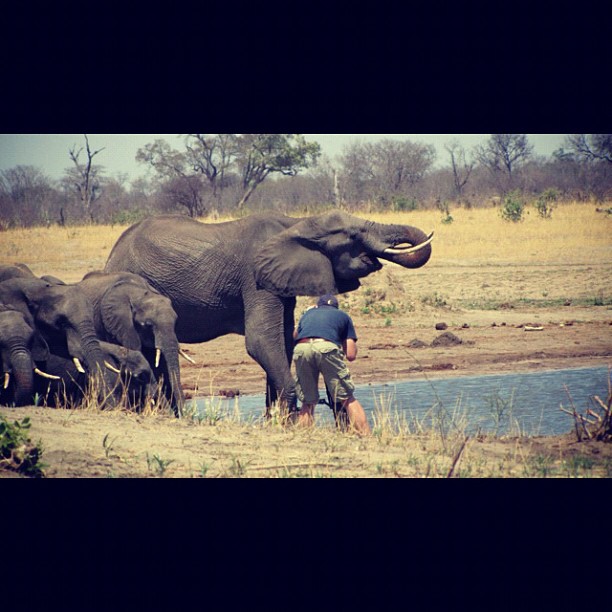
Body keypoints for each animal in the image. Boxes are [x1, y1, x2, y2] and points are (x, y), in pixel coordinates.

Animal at [104, 209, 430, 412]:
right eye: (352, 235)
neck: (296, 223)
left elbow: (284, 342)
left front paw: (276, 418)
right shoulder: (256, 279)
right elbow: (261, 341)